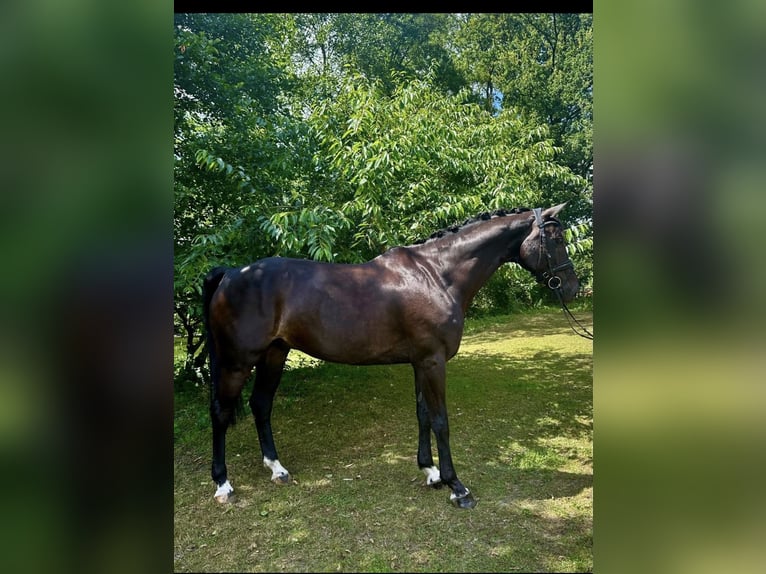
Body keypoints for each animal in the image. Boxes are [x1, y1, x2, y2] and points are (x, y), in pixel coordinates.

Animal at [202, 203, 581, 508]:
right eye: (556, 238)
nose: (572, 288)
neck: (437, 275)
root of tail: (231, 273)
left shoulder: (420, 361)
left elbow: (423, 415)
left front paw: (430, 472)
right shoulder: (432, 362)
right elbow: (441, 420)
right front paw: (457, 487)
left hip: (274, 355)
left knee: (261, 404)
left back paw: (277, 469)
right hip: (237, 361)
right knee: (221, 413)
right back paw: (223, 485)